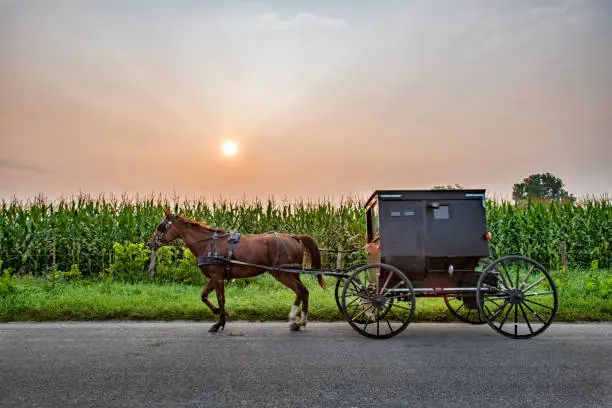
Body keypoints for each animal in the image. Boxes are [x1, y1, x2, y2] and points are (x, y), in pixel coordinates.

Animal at [146, 209, 328, 334]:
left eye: (161, 227)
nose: (149, 243)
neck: (208, 244)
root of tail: (294, 237)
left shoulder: (217, 277)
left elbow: (221, 299)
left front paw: (219, 323)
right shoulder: (213, 277)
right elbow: (204, 296)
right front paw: (221, 314)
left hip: (282, 273)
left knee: (301, 291)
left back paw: (299, 321)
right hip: (291, 272)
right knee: (302, 291)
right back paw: (298, 320)